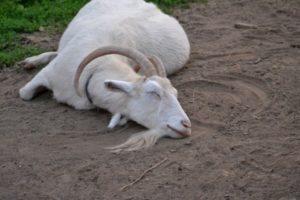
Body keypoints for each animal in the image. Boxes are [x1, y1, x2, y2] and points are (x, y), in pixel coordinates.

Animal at [19, 0, 191, 151]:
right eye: (154, 92)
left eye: (175, 94)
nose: (186, 125)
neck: (96, 68)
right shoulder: (47, 75)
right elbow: (25, 94)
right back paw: (31, 61)